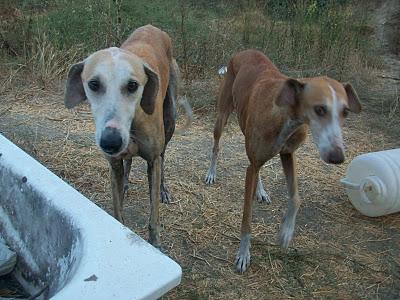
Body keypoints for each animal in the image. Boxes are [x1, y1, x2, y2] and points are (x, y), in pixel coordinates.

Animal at [64, 24, 180, 247]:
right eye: (93, 84)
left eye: (133, 85)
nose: (111, 142)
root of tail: (153, 27)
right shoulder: (113, 164)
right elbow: (117, 212)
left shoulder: (152, 160)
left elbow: (153, 217)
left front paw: (155, 244)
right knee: (129, 161)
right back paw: (126, 182)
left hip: (171, 118)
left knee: (163, 155)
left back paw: (163, 189)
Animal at [205, 49, 360, 272]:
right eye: (320, 109)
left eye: (345, 111)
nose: (337, 157)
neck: (286, 113)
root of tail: (244, 51)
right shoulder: (257, 163)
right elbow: (247, 218)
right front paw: (243, 254)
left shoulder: (287, 155)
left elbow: (295, 197)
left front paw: (286, 232)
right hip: (222, 116)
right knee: (217, 146)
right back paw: (211, 173)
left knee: (256, 166)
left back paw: (260, 191)